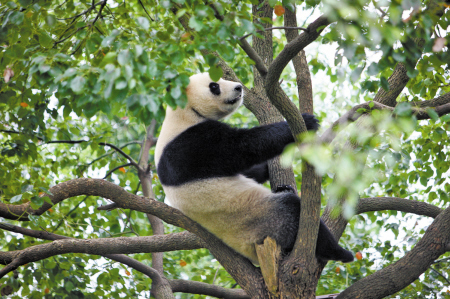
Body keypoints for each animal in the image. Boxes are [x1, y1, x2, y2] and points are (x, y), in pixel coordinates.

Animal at [156, 74, 356, 266]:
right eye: (214, 86)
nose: (238, 87)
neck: (184, 112)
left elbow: (247, 171)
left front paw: (267, 168)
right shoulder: (190, 144)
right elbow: (240, 147)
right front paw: (307, 121)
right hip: (264, 222)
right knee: (291, 210)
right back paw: (338, 252)